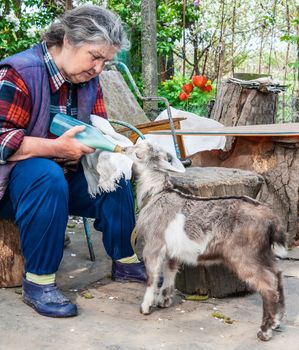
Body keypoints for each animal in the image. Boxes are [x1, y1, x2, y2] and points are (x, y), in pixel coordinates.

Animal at [123, 140, 288, 342]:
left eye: (138, 154)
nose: (123, 149)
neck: (157, 193)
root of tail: (270, 217)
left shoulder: (153, 245)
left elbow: (152, 277)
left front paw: (145, 307)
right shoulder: (172, 251)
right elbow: (169, 272)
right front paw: (164, 300)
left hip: (244, 256)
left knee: (268, 285)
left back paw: (264, 331)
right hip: (263, 253)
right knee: (277, 276)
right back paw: (277, 321)